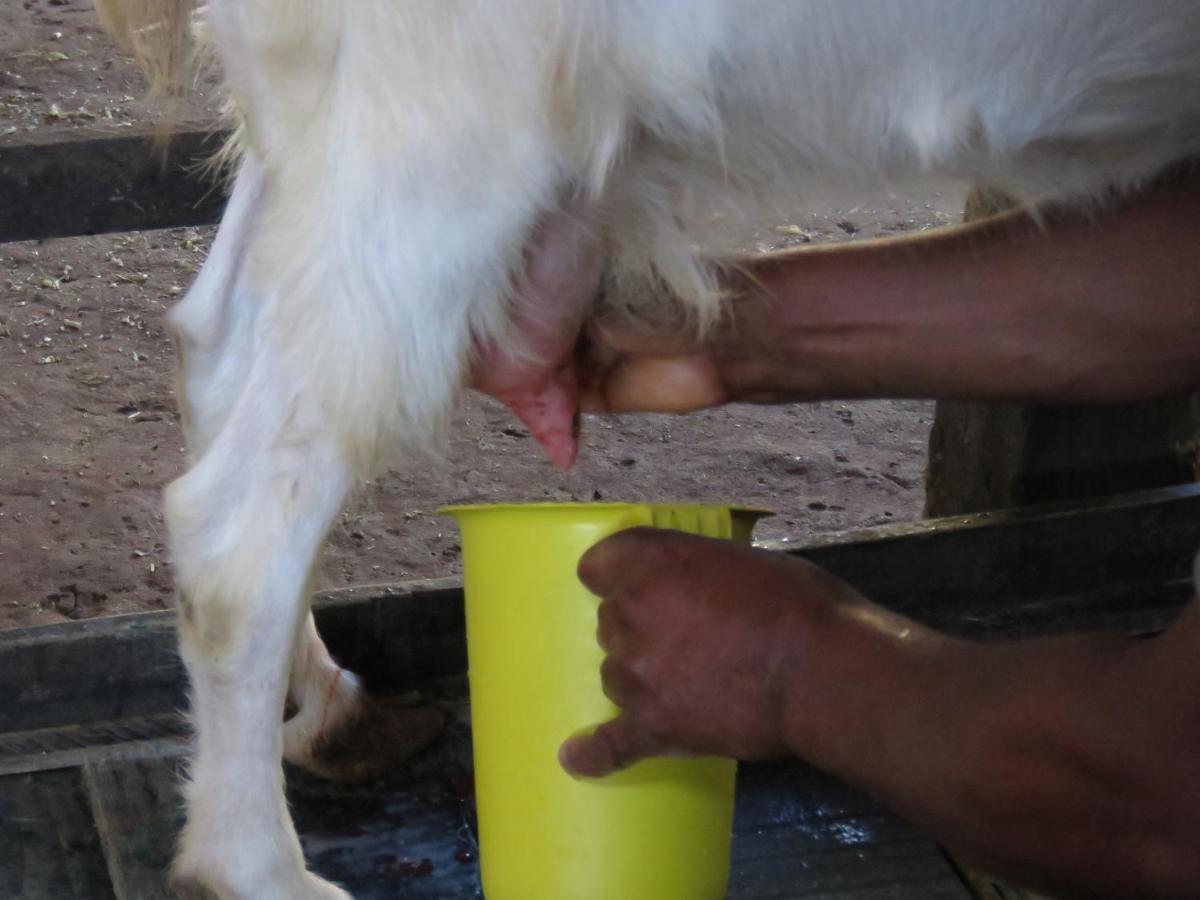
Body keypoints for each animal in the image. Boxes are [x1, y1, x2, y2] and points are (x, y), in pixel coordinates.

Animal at [93, 3, 1200, 897]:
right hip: (441, 121)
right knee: (237, 524)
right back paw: (257, 869)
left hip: (318, 121)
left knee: (220, 348)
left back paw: (331, 708)